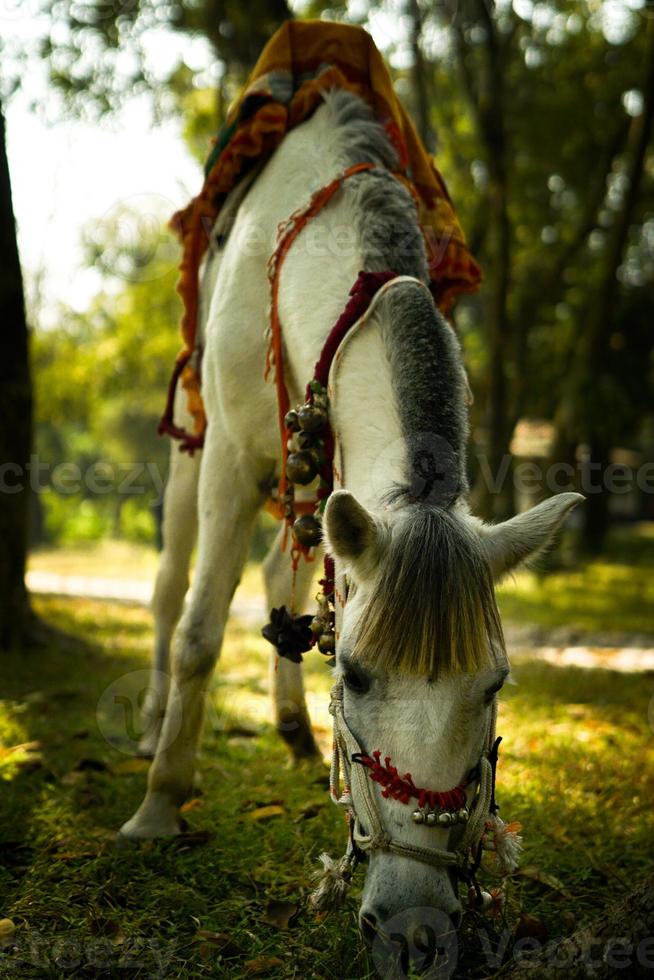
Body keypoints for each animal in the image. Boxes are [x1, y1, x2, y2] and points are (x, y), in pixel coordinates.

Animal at [123, 90, 584, 940]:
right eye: (358, 677)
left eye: (495, 685)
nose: (414, 925)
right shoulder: (230, 454)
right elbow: (202, 631)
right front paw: (160, 807)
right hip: (192, 447)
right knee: (171, 589)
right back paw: (149, 726)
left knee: (284, 580)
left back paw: (296, 732)